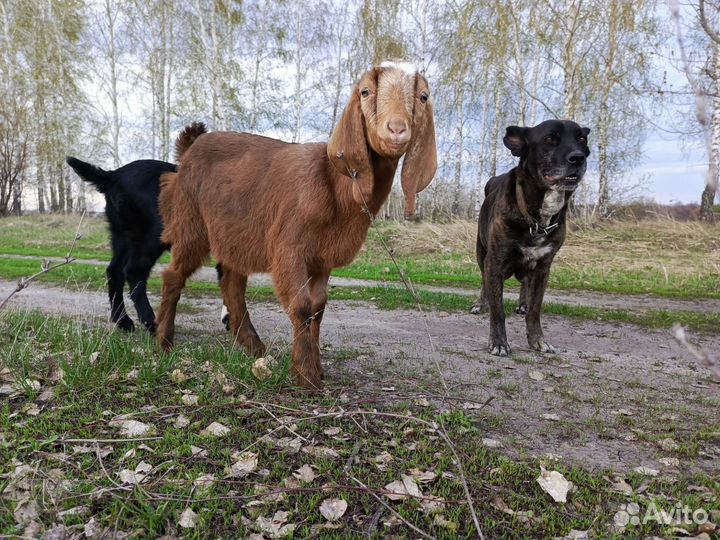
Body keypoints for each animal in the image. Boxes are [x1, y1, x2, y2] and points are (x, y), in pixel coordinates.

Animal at [156, 61, 437, 390]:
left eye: (422, 96)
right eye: (366, 91)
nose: (396, 129)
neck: (336, 184)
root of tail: (189, 149)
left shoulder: (322, 258)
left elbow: (318, 307)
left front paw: (315, 368)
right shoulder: (290, 248)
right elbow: (301, 306)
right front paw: (306, 377)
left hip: (236, 233)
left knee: (233, 284)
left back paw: (255, 347)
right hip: (192, 224)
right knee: (174, 275)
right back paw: (164, 342)